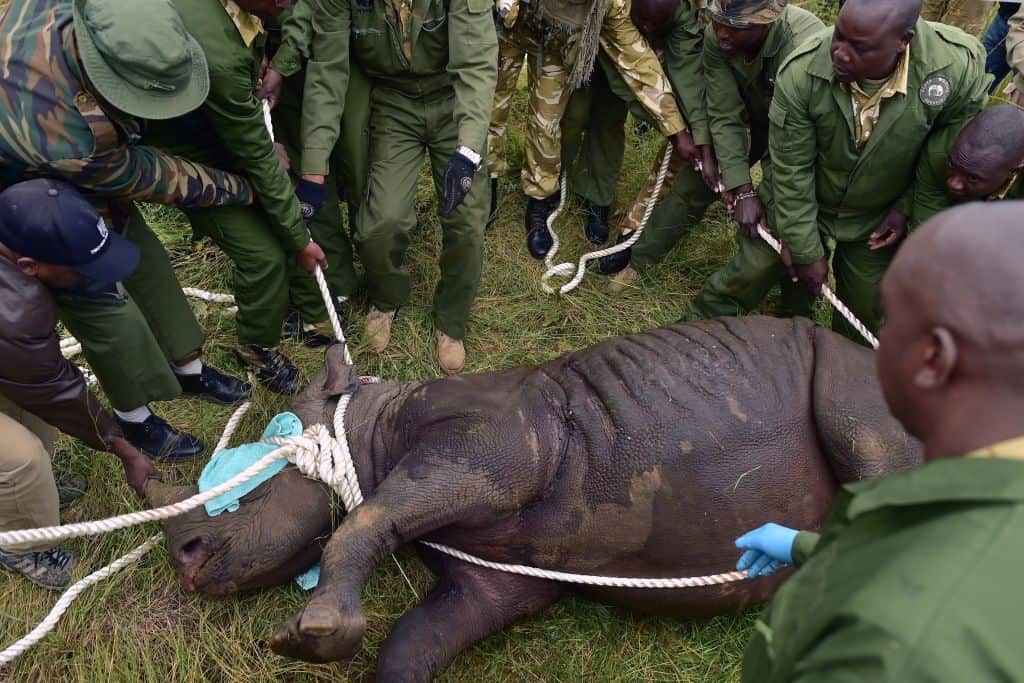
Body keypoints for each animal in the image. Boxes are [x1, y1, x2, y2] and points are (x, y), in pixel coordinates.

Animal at [146, 316, 922, 681]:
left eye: (252, 477)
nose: (183, 556)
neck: (368, 426)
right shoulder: (496, 579)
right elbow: (412, 641)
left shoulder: (502, 444)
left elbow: (365, 517)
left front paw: (309, 632)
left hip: (853, 372)